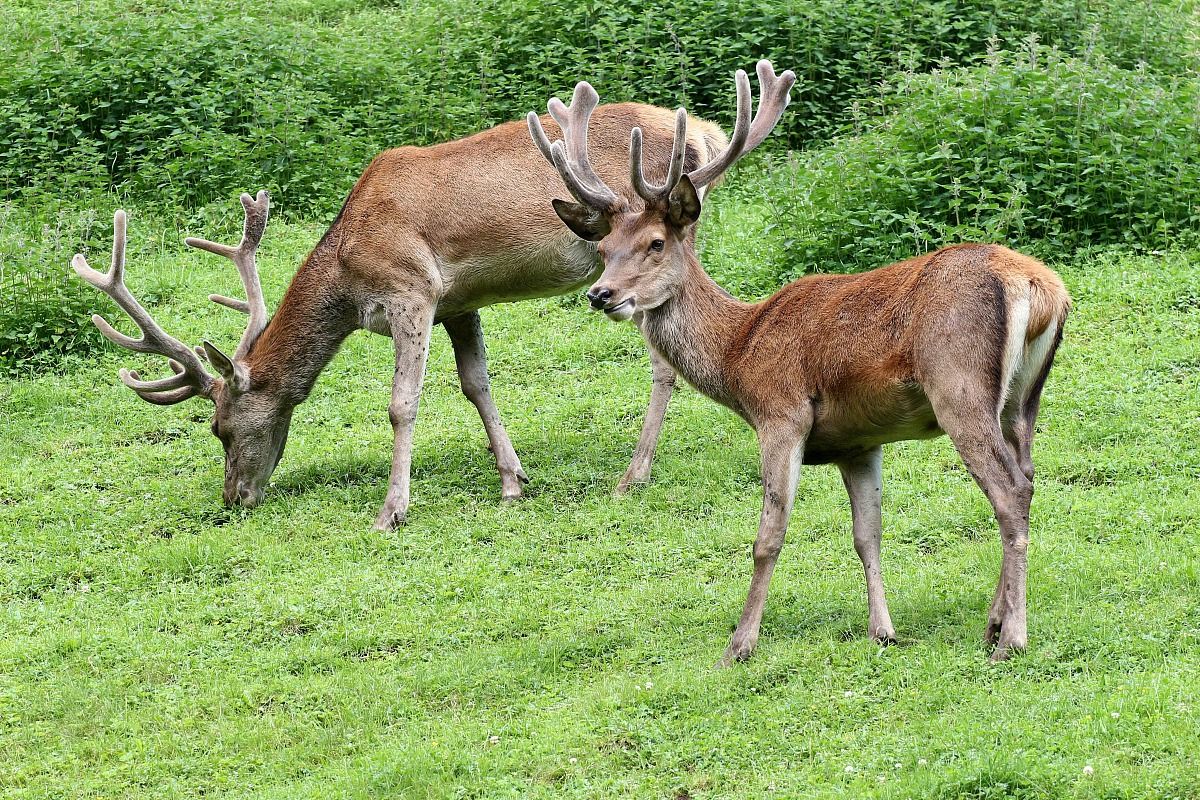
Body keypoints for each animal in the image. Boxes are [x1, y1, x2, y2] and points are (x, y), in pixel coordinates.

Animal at [71, 94, 741, 530]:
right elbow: (476, 386)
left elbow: (402, 403)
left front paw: (392, 510)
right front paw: (512, 482)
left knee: (665, 359)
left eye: (222, 428)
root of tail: (705, 133)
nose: (234, 498)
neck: (349, 268)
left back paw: (636, 473)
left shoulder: (411, 290)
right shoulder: (459, 302)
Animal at [530, 64, 1070, 664]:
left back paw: (1012, 637)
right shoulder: (859, 443)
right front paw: (882, 630)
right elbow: (867, 534)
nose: (601, 294)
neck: (738, 354)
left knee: (1010, 494)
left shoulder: (781, 414)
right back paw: (994, 622)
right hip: (1022, 399)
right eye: (604, 251)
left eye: (654, 243)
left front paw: (740, 643)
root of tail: (1040, 287)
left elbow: (769, 536)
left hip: (960, 387)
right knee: (1028, 478)